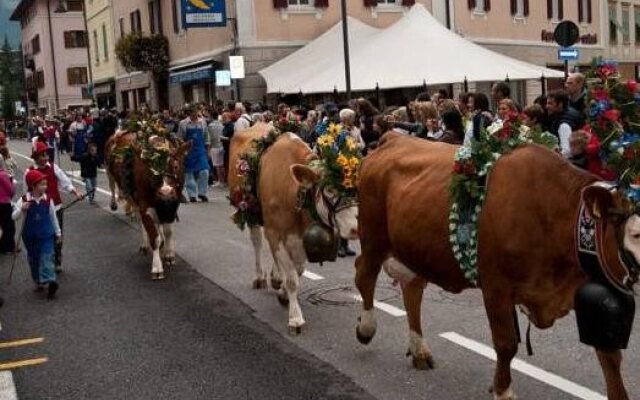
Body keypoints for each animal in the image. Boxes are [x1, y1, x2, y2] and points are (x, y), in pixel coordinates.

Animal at [105, 130, 189, 280]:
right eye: (151, 170)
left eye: (175, 166)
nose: (166, 192)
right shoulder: (144, 205)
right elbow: (153, 237)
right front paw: (157, 268)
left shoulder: (173, 205)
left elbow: (168, 231)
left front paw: (169, 254)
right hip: (116, 179)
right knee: (114, 189)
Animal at [229, 120, 360, 332]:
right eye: (330, 190)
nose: (356, 228)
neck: (294, 191)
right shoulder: (276, 232)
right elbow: (292, 279)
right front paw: (295, 317)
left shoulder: (297, 236)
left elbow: (298, 269)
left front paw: (282, 291)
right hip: (248, 208)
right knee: (257, 242)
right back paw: (259, 277)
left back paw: (275, 277)